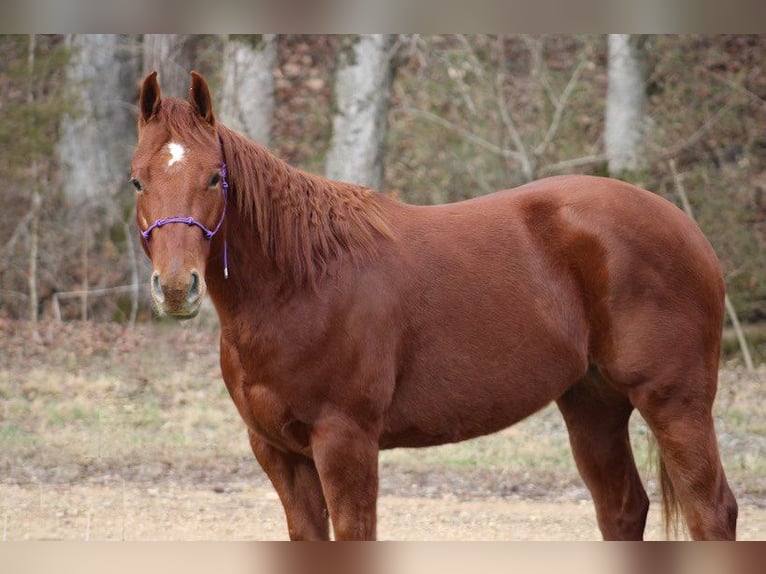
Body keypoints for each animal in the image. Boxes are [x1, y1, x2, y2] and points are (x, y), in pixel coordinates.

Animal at [130, 71, 736, 540]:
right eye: (137, 181)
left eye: (215, 177)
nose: (177, 287)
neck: (302, 283)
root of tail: (686, 226)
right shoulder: (277, 451)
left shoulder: (346, 442)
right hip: (593, 404)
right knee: (622, 508)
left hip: (675, 404)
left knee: (712, 511)